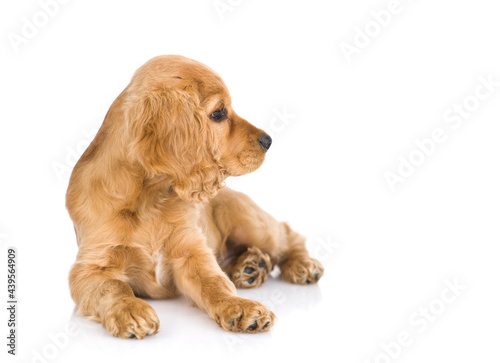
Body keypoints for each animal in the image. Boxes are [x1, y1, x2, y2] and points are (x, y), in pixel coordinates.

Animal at [66, 55, 324, 340]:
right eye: (219, 113)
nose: (268, 140)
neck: (149, 197)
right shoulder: (91, 266)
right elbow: (113, 287)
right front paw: (130, 309)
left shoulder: (190, 250)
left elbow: (214, 283)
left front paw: (240, 308)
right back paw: (252, 266)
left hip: (250, 224)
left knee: (288, 235)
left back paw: (301, 265)